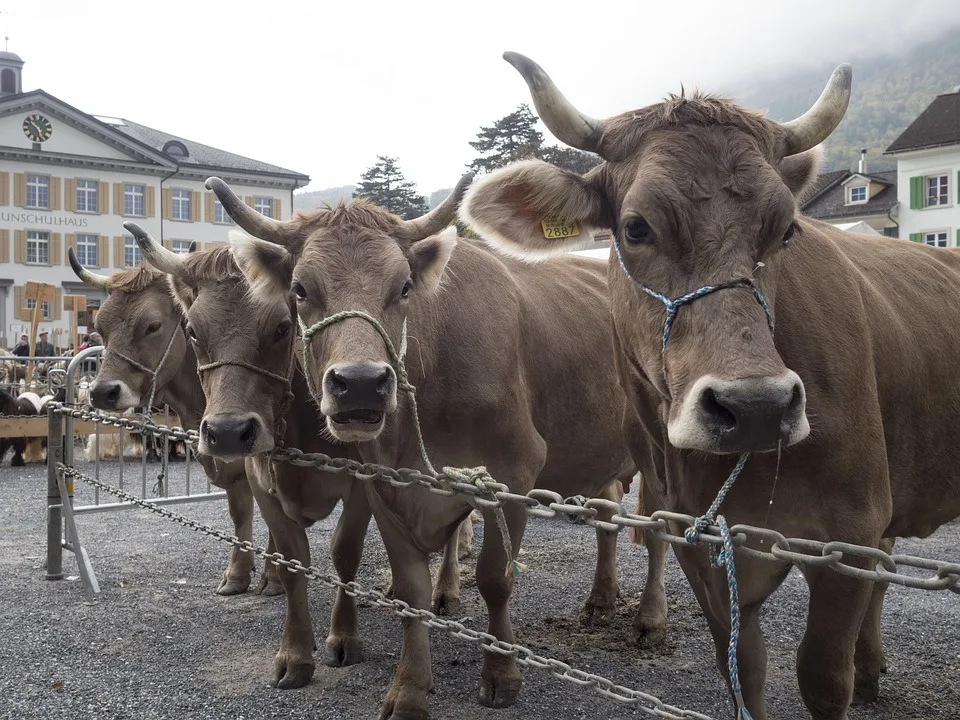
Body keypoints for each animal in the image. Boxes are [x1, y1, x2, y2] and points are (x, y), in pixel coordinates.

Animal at [68, 249, 282, 597]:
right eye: (99, 326)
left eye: (152, 325)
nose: (102, 392)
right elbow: (240, 513)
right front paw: (237, 574)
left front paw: (275, 577)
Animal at [203, 171, 660, 720]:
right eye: (299, 290)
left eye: (403, 287)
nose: (360, 384)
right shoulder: (385, 484)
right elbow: (412, 591)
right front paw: (409, 689)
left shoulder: (514, 472)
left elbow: (495, 579)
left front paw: (501, 673)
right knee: (609, 510)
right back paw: (600, 600)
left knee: (661, 534)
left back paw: (650, 620)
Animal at [459, 52, 960, 720]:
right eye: (635, 227)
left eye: (786, 230)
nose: (757, 407)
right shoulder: (699, 541)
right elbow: (743, 671)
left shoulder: (849, 535)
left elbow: (823, 678)